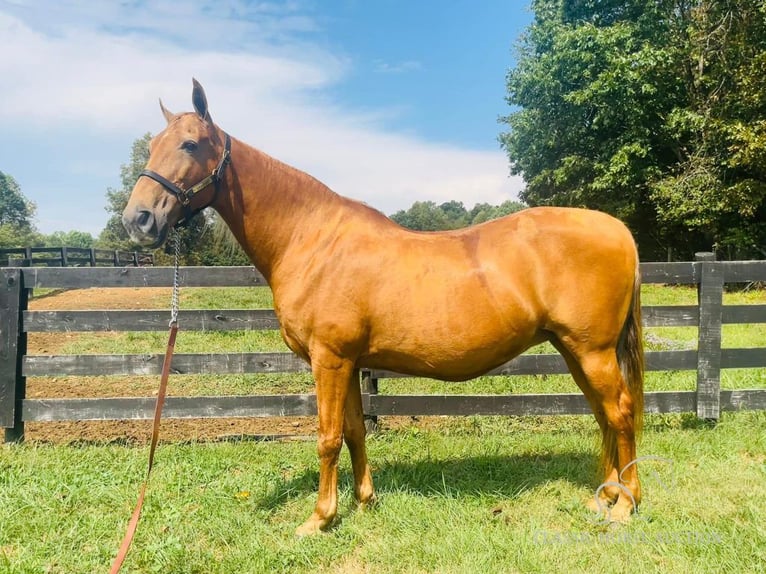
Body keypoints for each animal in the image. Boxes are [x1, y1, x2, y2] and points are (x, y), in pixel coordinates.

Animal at [123, 79, 644, 536]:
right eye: (153, 144)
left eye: (191, 144)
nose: (138, 219)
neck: (312, 239)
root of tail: (619, 230)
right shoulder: (349, 362)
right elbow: (355, 430)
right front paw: (363, 501)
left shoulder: (329, 360)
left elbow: (328, 437)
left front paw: (319, 519)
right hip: (574, 351)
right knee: (602, 414)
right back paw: (606, 496)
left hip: (591, 351)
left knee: (619, 413)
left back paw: (625, 505)